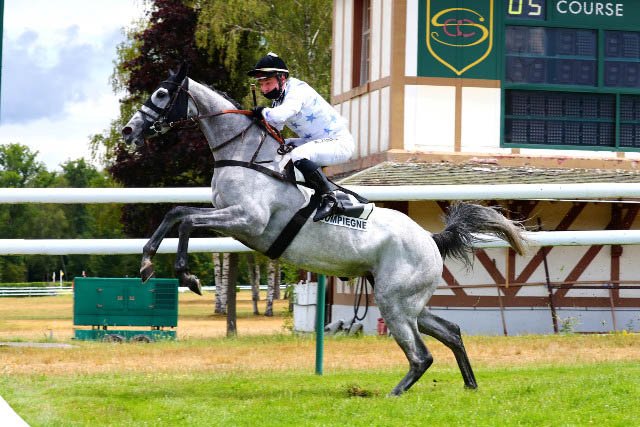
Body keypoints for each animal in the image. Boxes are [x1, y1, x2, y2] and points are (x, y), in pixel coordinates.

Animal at [121, 63, 527, 396]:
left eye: (161, 94)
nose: (128, 130)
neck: (245, 155)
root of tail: (430, 238)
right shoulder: (228, 214)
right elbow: (176, 213)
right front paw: (146, 263)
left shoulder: (247, 220)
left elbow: (188, 220)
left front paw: (185, 275)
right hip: (409, 303)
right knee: (451, 331)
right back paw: (470, 385)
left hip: (395, 303)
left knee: (421, 355)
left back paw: (393, 394)